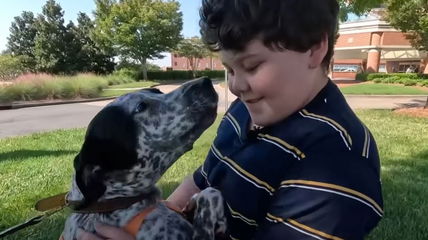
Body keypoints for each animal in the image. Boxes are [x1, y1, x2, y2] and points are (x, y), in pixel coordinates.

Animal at [62, 78, 227, 239]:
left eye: (158, 91)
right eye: (140, 107)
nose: (205, 81)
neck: (117, 201)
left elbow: (208, 193)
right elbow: (209, 196)